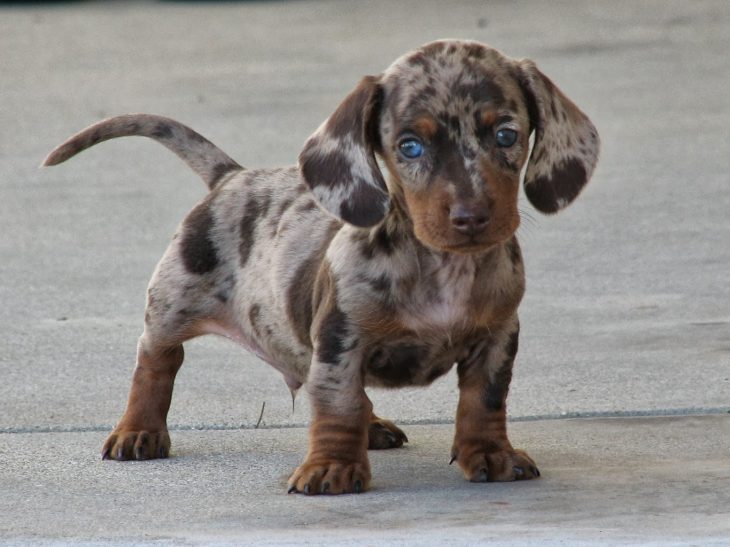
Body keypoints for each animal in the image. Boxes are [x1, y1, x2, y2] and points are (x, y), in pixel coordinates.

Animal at [44, 40, 596, 496]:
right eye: (409, 146)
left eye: (506, 134)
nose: (471, 217)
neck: (443, 271)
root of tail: (233, 176)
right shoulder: (340, 338)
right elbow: (339, 403)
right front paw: (332, 466)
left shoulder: (498, 337)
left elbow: (484, 400)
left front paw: (491, 454)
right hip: (172, 302)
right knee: (157, 359)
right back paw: (138, 429)